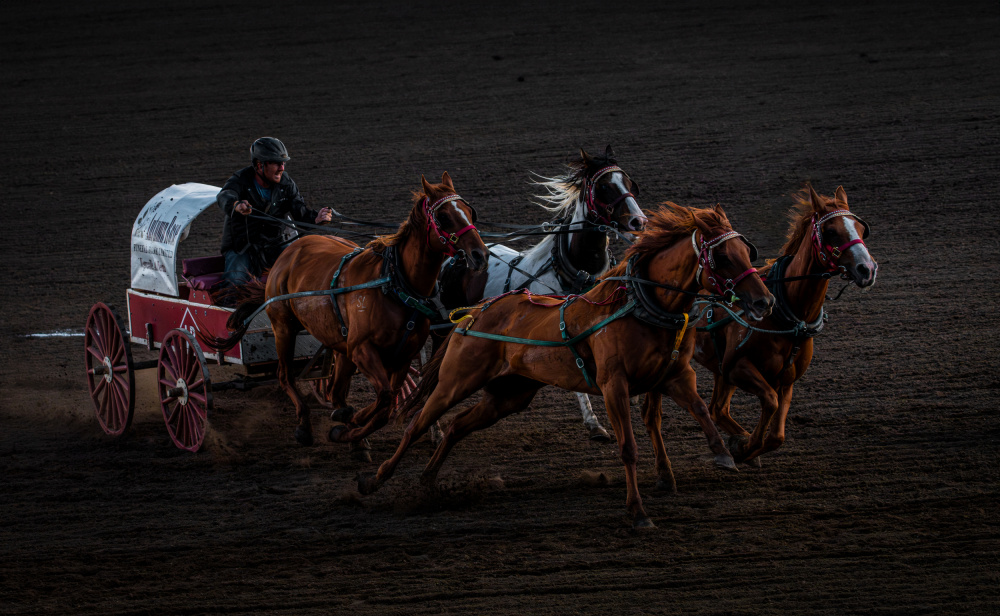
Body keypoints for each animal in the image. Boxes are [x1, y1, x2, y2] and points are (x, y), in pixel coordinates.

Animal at [210, 173, 488, 448]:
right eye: (443, 216)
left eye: (470, 212)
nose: (480, 255)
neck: (394, 285)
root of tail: (290, 250)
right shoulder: (362, 350)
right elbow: (385, 397)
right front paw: (350, 423)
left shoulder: (402, 357)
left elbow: (387, 404)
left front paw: (349, 425)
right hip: (283, 328)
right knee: (286, 376)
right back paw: (304, 425)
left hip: (338, 343)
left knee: (335, 388)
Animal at [360, 203, 772, 528]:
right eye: (722, 257)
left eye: (745, 250)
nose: (764, 302)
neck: (641, 306)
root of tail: (474, 313)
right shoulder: (613, 384)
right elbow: (628, 447)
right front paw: (637, 512)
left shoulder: (675, 375)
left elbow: (702, 409)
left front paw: (727, 452)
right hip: (456, 381)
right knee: (419, 422)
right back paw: (376, 479)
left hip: (509, 395)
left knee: (458, 426)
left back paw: (429, 480)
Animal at [640, 185, 876, 464]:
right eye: (831, 231)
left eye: (860, 227)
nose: (867, 269)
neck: (791, 316)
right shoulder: (737, 368)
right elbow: (770, 402)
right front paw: (744, 446)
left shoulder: (786, 379)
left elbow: (776, 435)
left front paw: (743, 445)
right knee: (654, 416)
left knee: (717, 409)